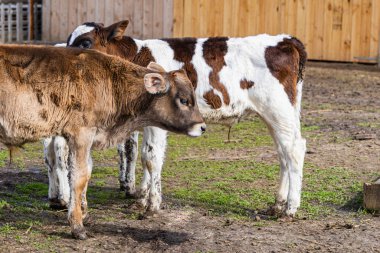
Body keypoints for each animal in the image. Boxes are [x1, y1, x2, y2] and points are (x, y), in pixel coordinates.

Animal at [0, 44, 206, 239]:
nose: (202, 127)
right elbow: (79, 176)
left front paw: (83, 212)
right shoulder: (81, 134)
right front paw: (77, 225)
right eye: (184, 100)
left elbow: (87, 172)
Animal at [47, 19, 308, 216]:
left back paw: (290, 208)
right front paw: (143, 198)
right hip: (280, 114)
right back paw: (278, 204)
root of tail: (286, 40)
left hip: (277, 109)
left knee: (294, 149)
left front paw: (152, 206)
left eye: (85, 42)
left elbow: (151, 157)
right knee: (283, 153)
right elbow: (146, 157)